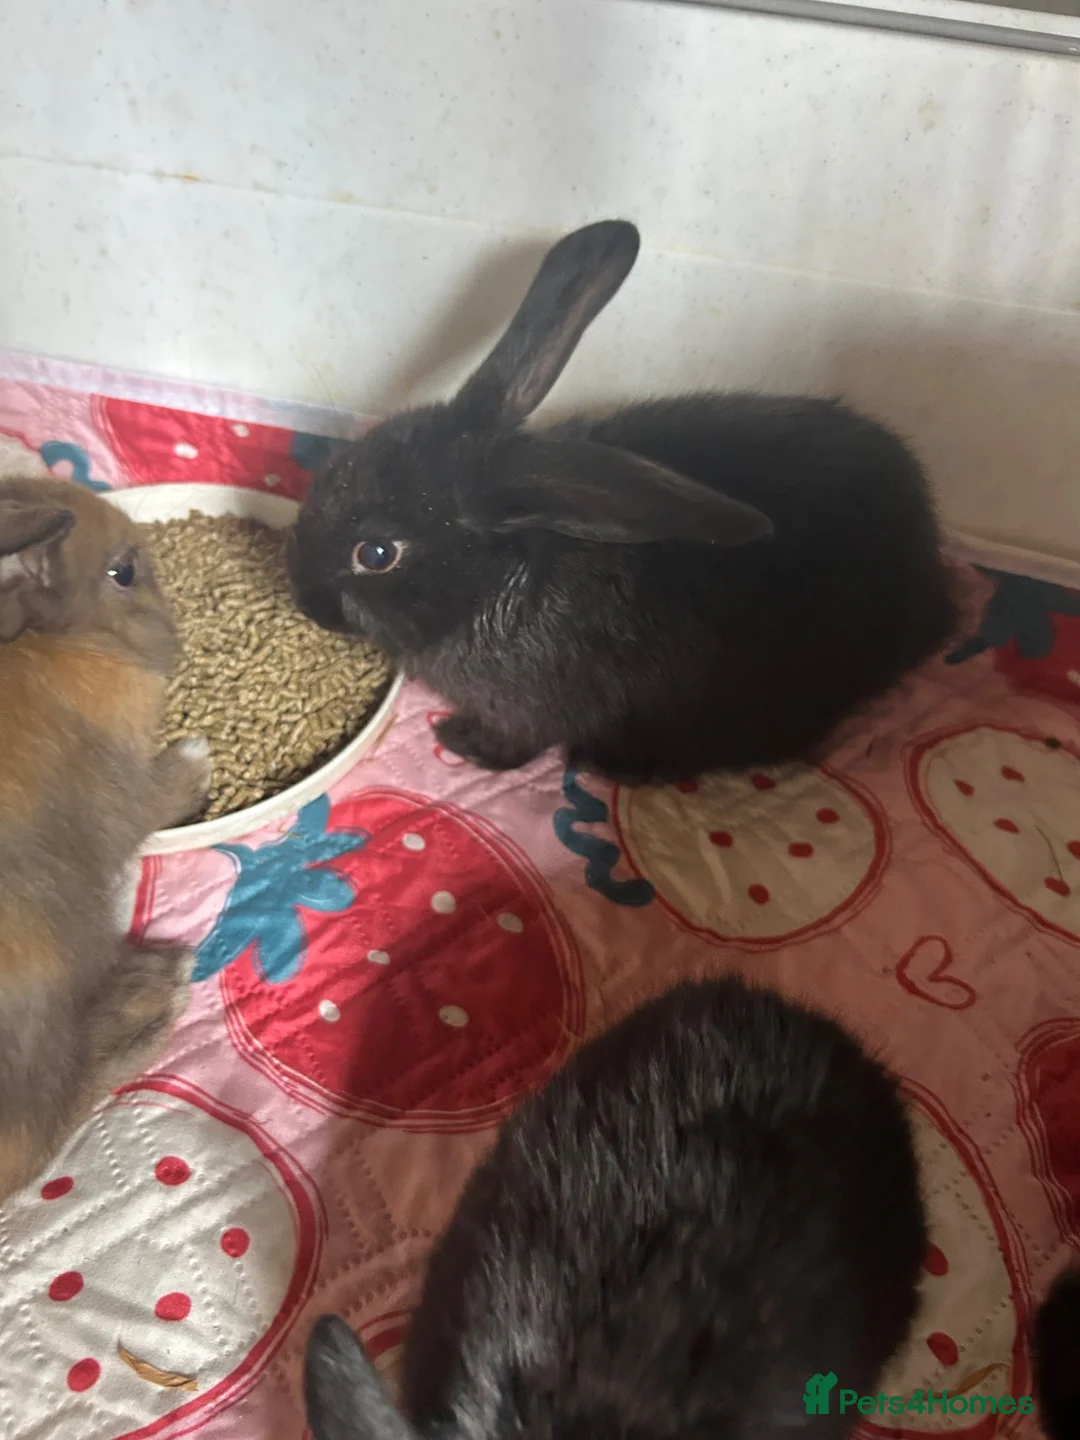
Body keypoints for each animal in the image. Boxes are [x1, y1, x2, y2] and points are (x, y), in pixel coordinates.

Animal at [0, 475, 211, 1203]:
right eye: (122, 572)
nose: (175, 633)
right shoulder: (124, 794)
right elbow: (158, 797)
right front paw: (198, 757)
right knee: (43, 1131)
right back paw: (159, 992)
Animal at [288, 219, 957, 785]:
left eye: (376, 553)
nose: (304, 598)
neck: (497, 581)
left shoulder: (526, 711)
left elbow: (515, 745)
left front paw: (460, 742)